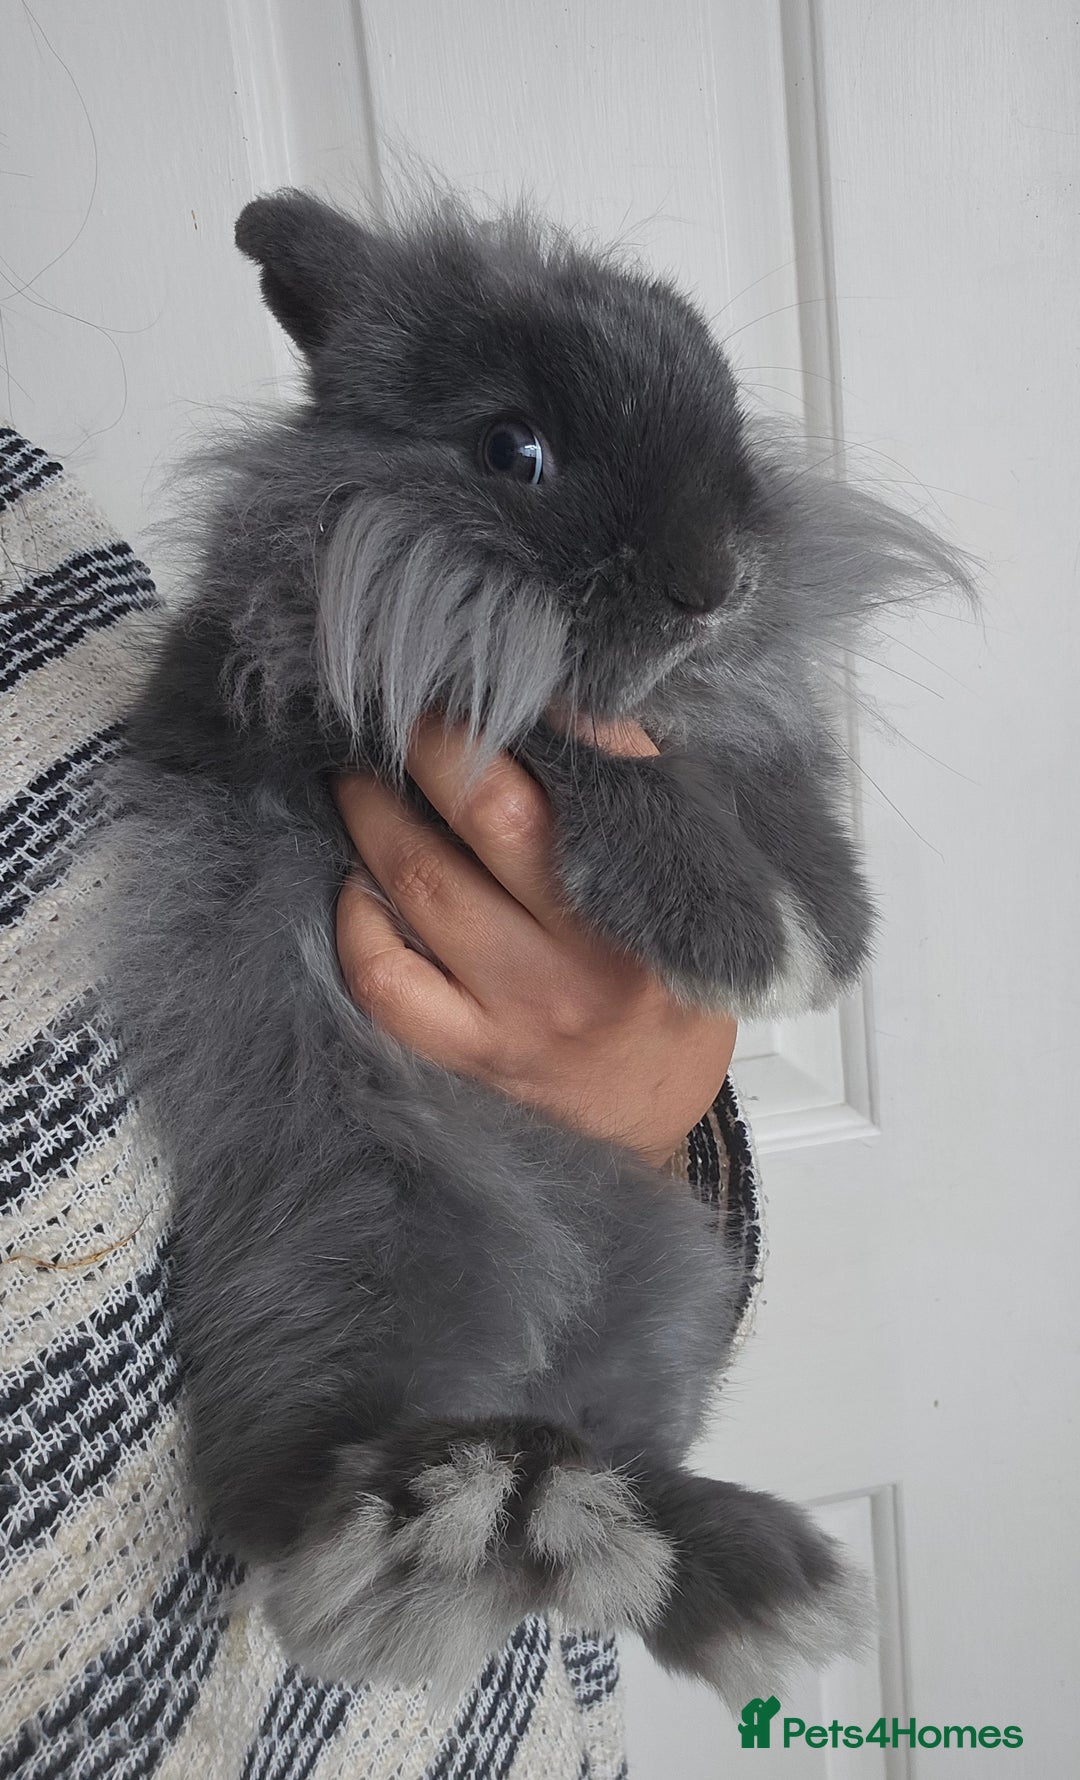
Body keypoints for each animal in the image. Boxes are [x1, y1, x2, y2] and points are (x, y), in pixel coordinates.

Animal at [102, 188, 968, 1707]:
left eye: (722, 405)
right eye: (516, 452)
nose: (717, 581)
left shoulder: (718, 719)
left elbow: (751, 764)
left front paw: (826, 921)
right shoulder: (361, 707)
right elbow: (571, 747)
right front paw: (742, 937)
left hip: (670, 1281)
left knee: (622, 1462)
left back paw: (739, 1571)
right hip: (366, 1235)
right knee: (297, 1493)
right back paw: (426, 1518)